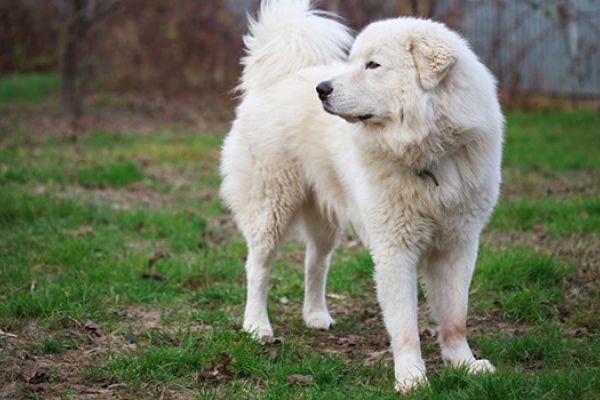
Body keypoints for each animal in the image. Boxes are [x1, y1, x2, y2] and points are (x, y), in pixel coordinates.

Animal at [219, 0, 502, 392]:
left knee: (315, 262)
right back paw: (257, 326)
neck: (428, 154)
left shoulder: (459, 244)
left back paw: (316, 315)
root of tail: (280, 77)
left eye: (373, 65)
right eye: (354, 61)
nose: (322, 89)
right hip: (272, 205)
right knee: (257, 268)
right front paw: (412, 377)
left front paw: (464, 363)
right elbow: (405, 325)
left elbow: (455, 316)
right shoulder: (395, 250)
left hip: (325, 221)